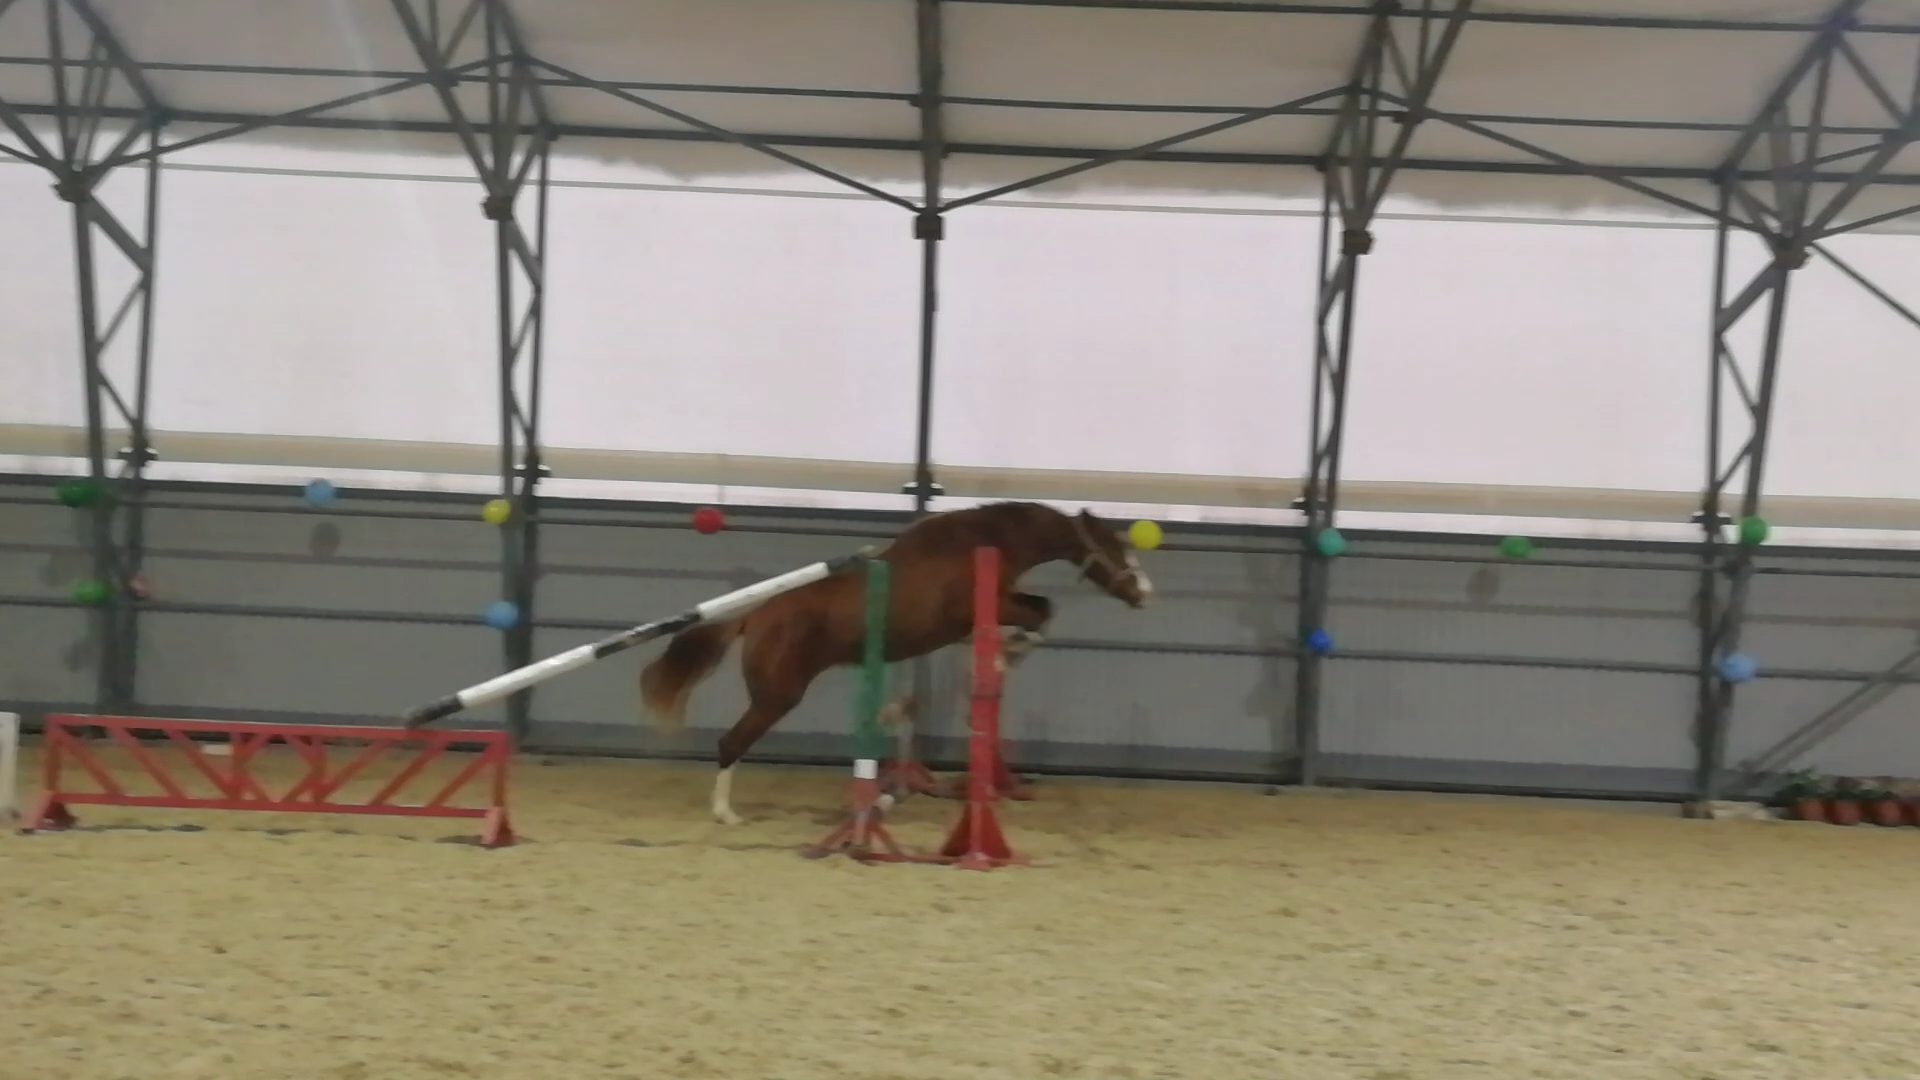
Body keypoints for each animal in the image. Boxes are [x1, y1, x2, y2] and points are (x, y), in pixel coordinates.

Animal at [638, 500, 1154, 824]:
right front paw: (1009, 655)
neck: (978, 542)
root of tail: (758, 615)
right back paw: (726, 814)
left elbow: (1043, 608)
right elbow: (1039, 613)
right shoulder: (975, 610)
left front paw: (1009, 654)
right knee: (731, 742)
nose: (1146, 594)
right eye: (1116, 550)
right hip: (778, 694)